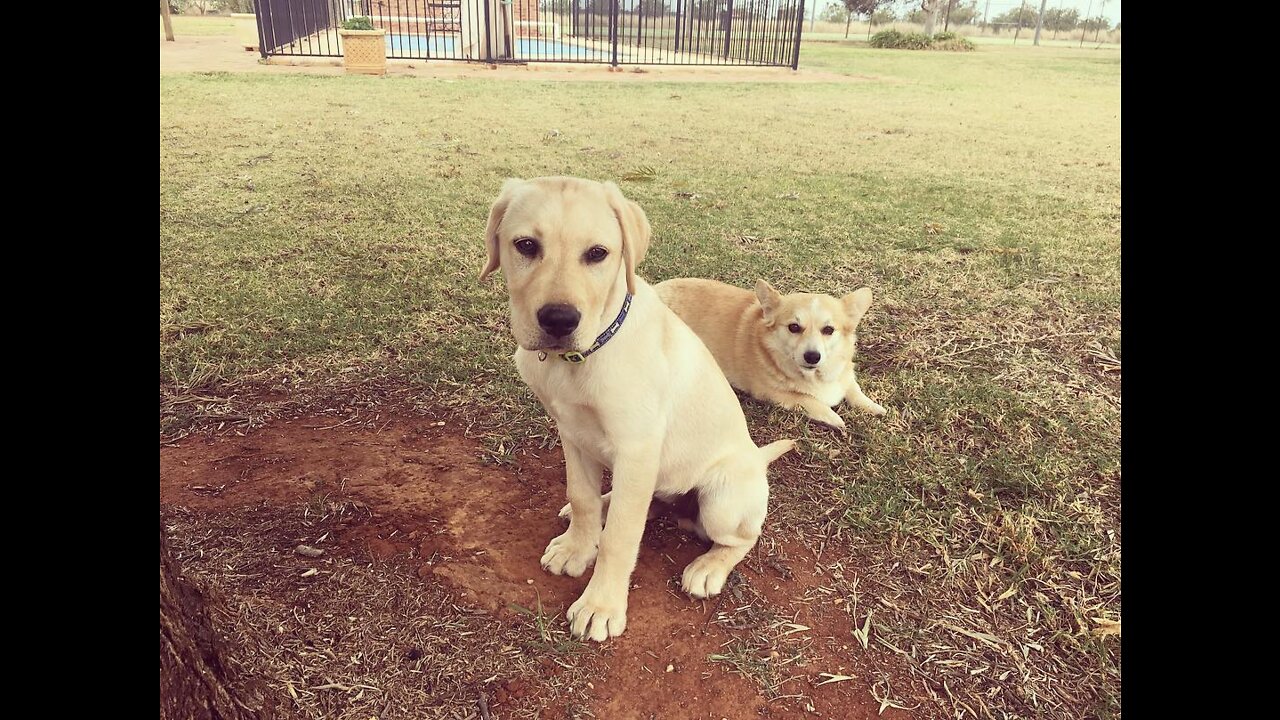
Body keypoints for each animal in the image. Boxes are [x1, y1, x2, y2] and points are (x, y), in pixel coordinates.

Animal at [483, 176, 793, 640]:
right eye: (525, 246)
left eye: (597, 253)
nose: (559, 320)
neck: (582, 356)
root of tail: (757, 458)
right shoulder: (573, 433)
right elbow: (581, 497)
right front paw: (578, 546)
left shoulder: (636, 448)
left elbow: (621, 536)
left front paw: (600, 604)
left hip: (721, 499)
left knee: (741, 537)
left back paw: (709, 567)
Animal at [655, 278, 885, 427]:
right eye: (794, 327)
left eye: (828, 330)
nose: (812, 356)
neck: (814, 376)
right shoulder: (772, 394)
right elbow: (809, 400)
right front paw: (834, 418)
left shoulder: (845, 376)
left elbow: (854, 390)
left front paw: (873, 406)